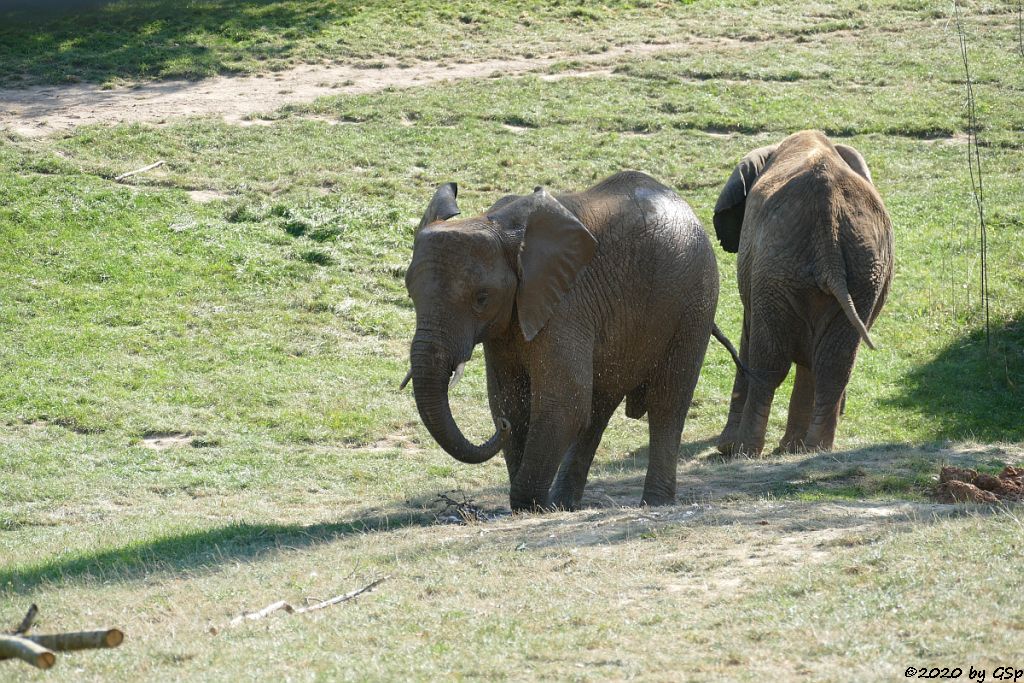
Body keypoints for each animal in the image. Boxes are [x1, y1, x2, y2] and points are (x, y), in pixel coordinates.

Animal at [403, 172, 724, 511]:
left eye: (481, 298)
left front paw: (530, 504)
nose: (500, 428)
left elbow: (563, 401)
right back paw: (564, 504)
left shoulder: (567, 302)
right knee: (597, 409)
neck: (500, 227)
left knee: (667, 402)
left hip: (695, 302)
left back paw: (654, 503)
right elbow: (508, 399)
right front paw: (532, 499)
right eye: (411, 292)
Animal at [712, 131, 897, 456]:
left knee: (768, 364)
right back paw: (813, 449)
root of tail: (828, 225)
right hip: (863, 272)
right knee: (833, 365)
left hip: (775, 270)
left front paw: (726, 447)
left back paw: (745, 450)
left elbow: (748, 337)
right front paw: (792, 448)